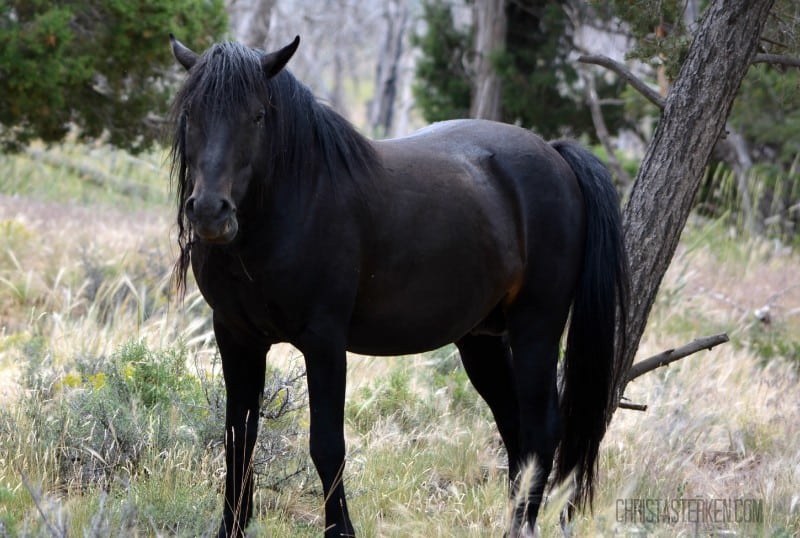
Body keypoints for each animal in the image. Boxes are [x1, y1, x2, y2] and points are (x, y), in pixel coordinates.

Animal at [169, 34, 628, 536]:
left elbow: (326, 444)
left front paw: (340, 530)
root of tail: (555, 154)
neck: (294, 204)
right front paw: (230, 526)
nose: (210, 212)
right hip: (481, 339)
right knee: (515, 427)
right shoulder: (236, 336)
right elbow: (239, 435)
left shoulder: (324, 341)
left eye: (257, 115)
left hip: (536, 329)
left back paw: (521, 525)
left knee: (542, 427)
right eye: (190, 113)